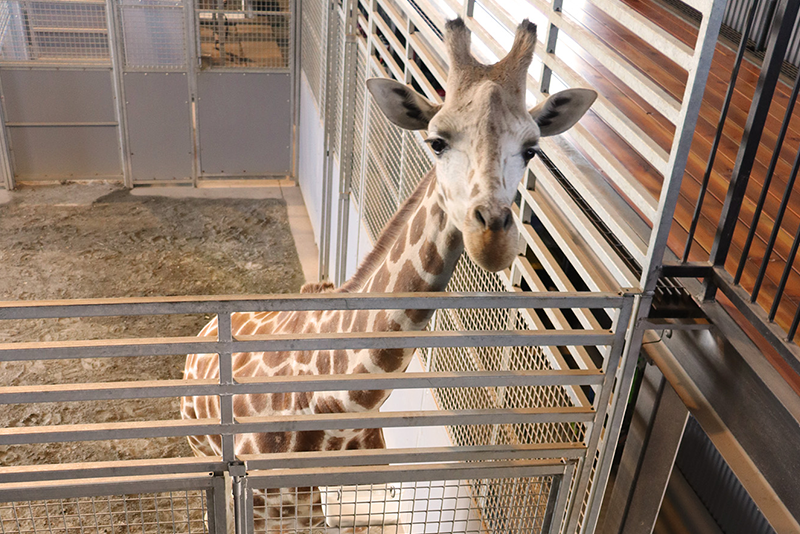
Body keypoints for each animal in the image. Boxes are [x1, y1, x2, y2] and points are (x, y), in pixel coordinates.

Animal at [181, 17, 596, 532]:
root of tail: (200, 335)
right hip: (202, 454)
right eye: (436, 141)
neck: (333, 409)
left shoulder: (337, 507)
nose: (494, 240)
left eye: (532, 149)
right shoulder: (260, 504)